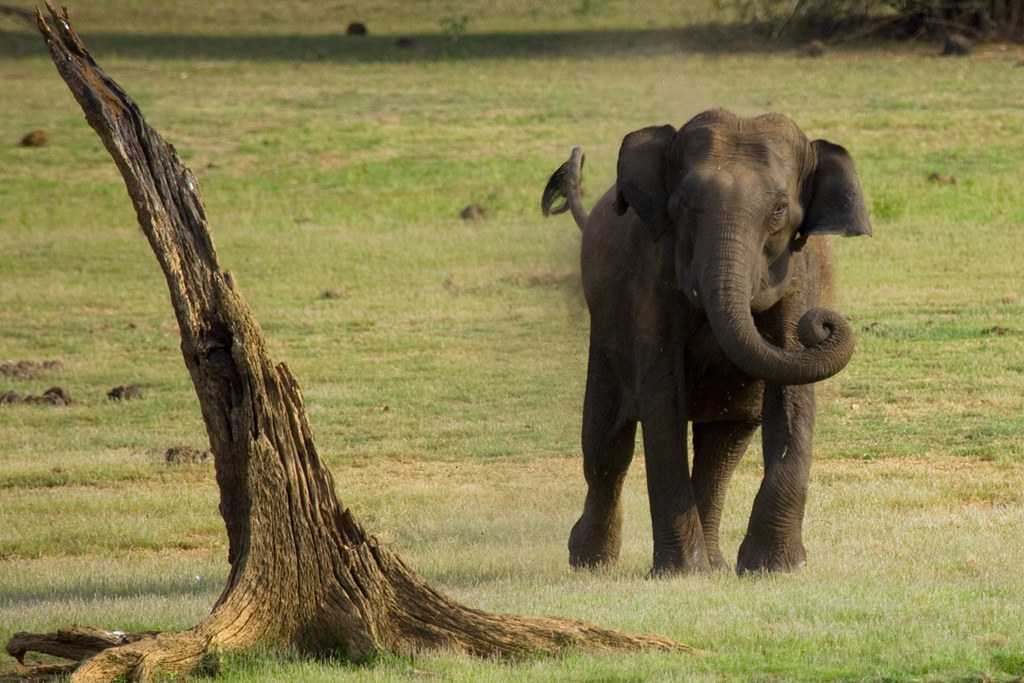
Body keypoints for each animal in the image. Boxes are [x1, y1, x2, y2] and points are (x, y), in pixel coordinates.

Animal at [540, 109, 868, 573]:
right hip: (603, 330)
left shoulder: (802, 275)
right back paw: (591, 562)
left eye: (779, 211)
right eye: (682, 209)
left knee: (723, 446)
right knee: (607, 445)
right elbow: (663, 401)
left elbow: (792, 399)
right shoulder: (652, 276)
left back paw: (715, 566)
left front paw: (774, 568)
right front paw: (680, 573)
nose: (821, 324)